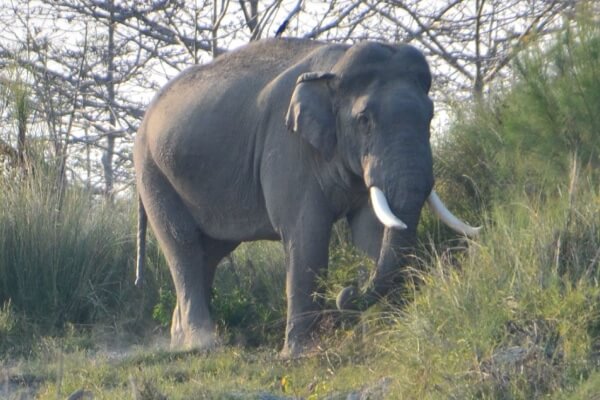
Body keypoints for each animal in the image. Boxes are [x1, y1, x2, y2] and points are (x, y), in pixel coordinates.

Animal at [134, 36, 480, 356]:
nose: (347, 291)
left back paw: (180, 341)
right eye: (364, 120)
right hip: (153, 174)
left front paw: (383, 333)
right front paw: (298, 354)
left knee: (210, 251)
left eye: (431, 117)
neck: (334, 68)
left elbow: (372, 229)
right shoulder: (288, 148)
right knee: (184, 247)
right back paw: (203, 345)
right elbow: (306, 232)